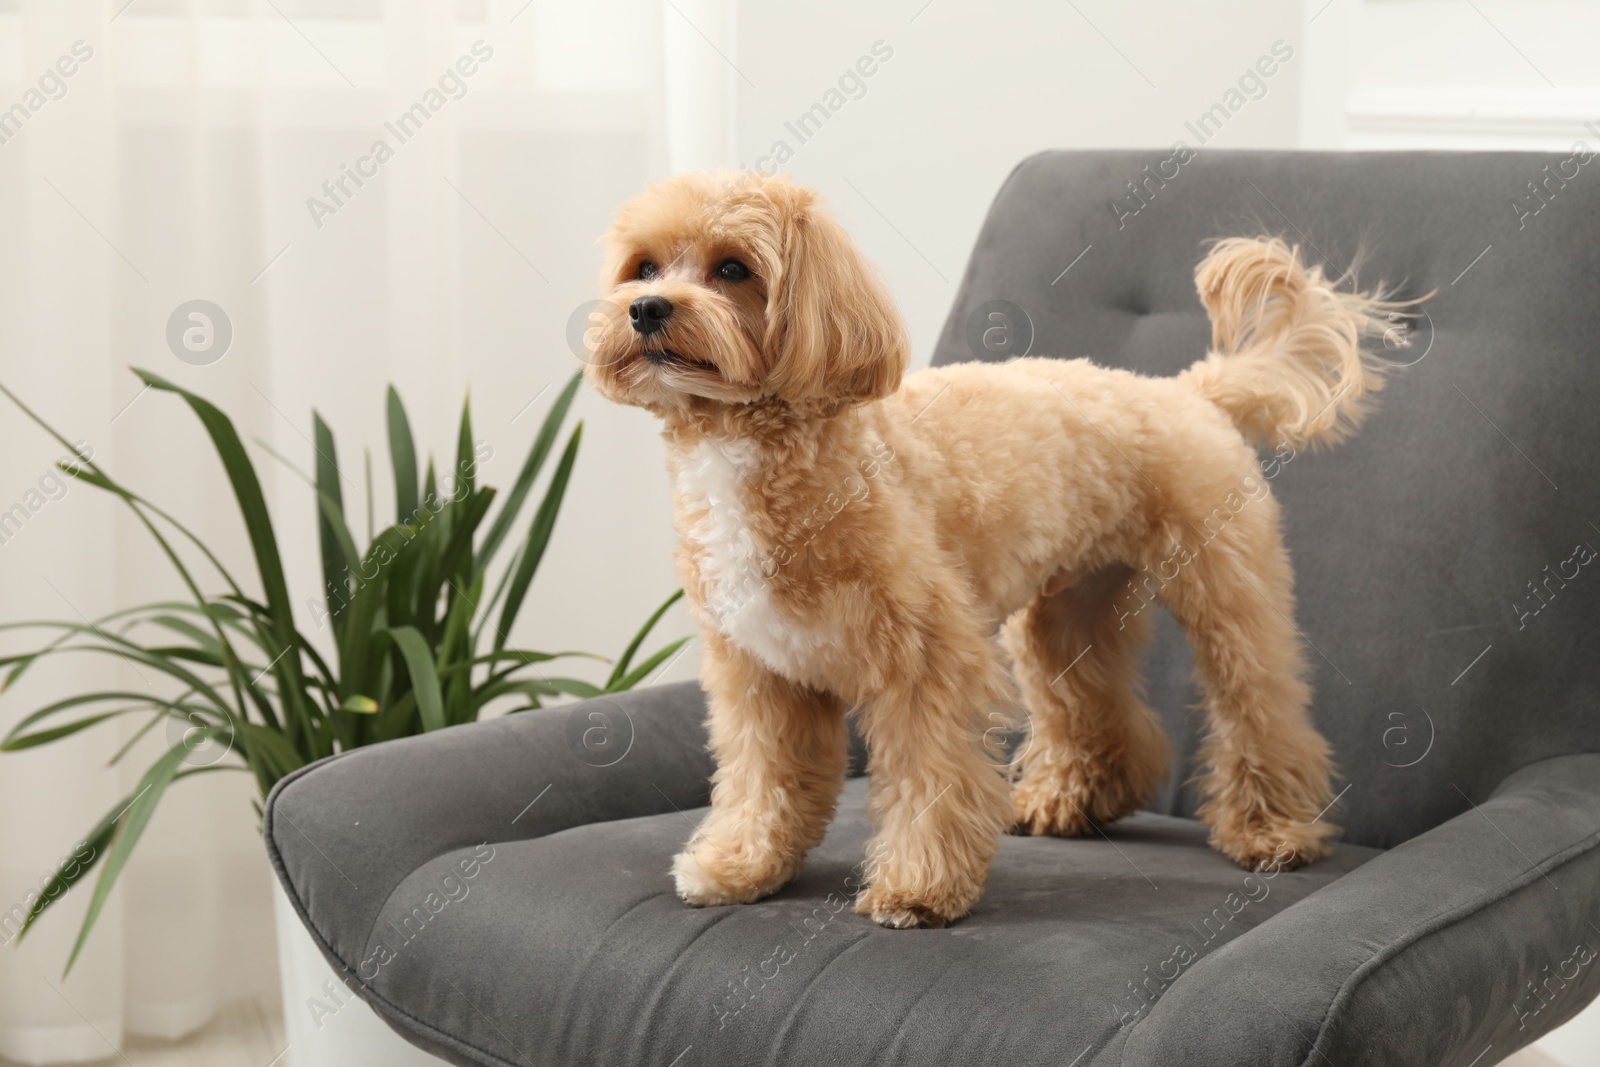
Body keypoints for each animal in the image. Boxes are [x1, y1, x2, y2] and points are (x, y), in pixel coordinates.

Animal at [585, 171, 1401, 927]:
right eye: (644, 267)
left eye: (732, 268)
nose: (646, 309)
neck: (771, 447)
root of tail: (1188, 391)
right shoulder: (761, 671)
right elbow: (763, 779)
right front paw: (740, 865)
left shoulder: (928, 661)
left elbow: (929, 779)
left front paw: (916, 889)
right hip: (1067, 614)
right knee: (1093, 705)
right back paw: (1071, 799)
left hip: (1225, 589)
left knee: (1258, 701)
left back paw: (1272, 831)